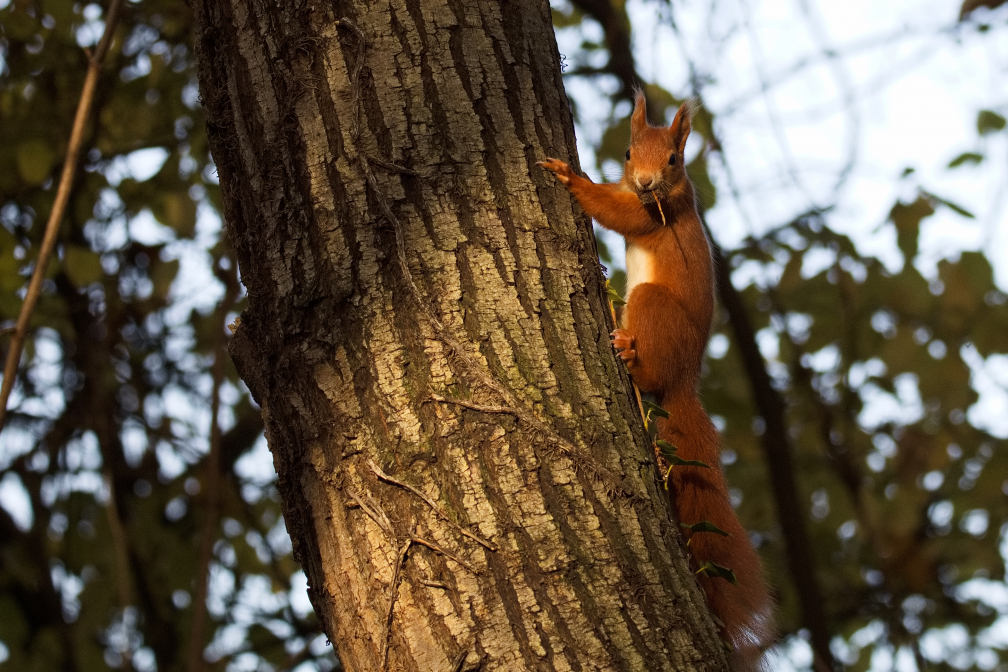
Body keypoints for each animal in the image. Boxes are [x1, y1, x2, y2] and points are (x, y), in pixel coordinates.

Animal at [538, 93, 774, 669]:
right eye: (628, 152)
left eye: (673, 159)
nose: (645, 182)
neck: (661, 194)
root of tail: (686, 379)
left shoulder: (656, 212)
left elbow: (618, 214)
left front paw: (571, 177)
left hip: (652, 307)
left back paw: (628, 357)